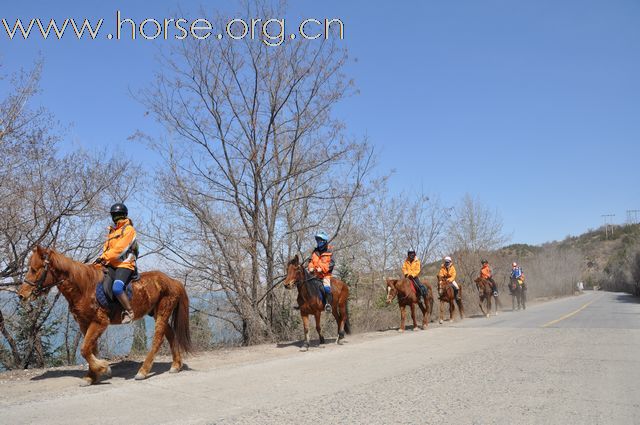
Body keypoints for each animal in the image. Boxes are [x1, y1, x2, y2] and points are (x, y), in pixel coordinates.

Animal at [18, 243, 190, 386]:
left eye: (34, 269)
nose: (21, 295)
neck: (85, 287)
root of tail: (173, 281)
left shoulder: (100, 322)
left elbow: (85, 349)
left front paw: (103, 368)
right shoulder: (84, 323)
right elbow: (90, 349)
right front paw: (91, 376)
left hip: (162, 312)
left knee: (158, 339)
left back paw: (143, 371)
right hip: (157, 313)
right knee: (171, 335)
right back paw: (176, 365)